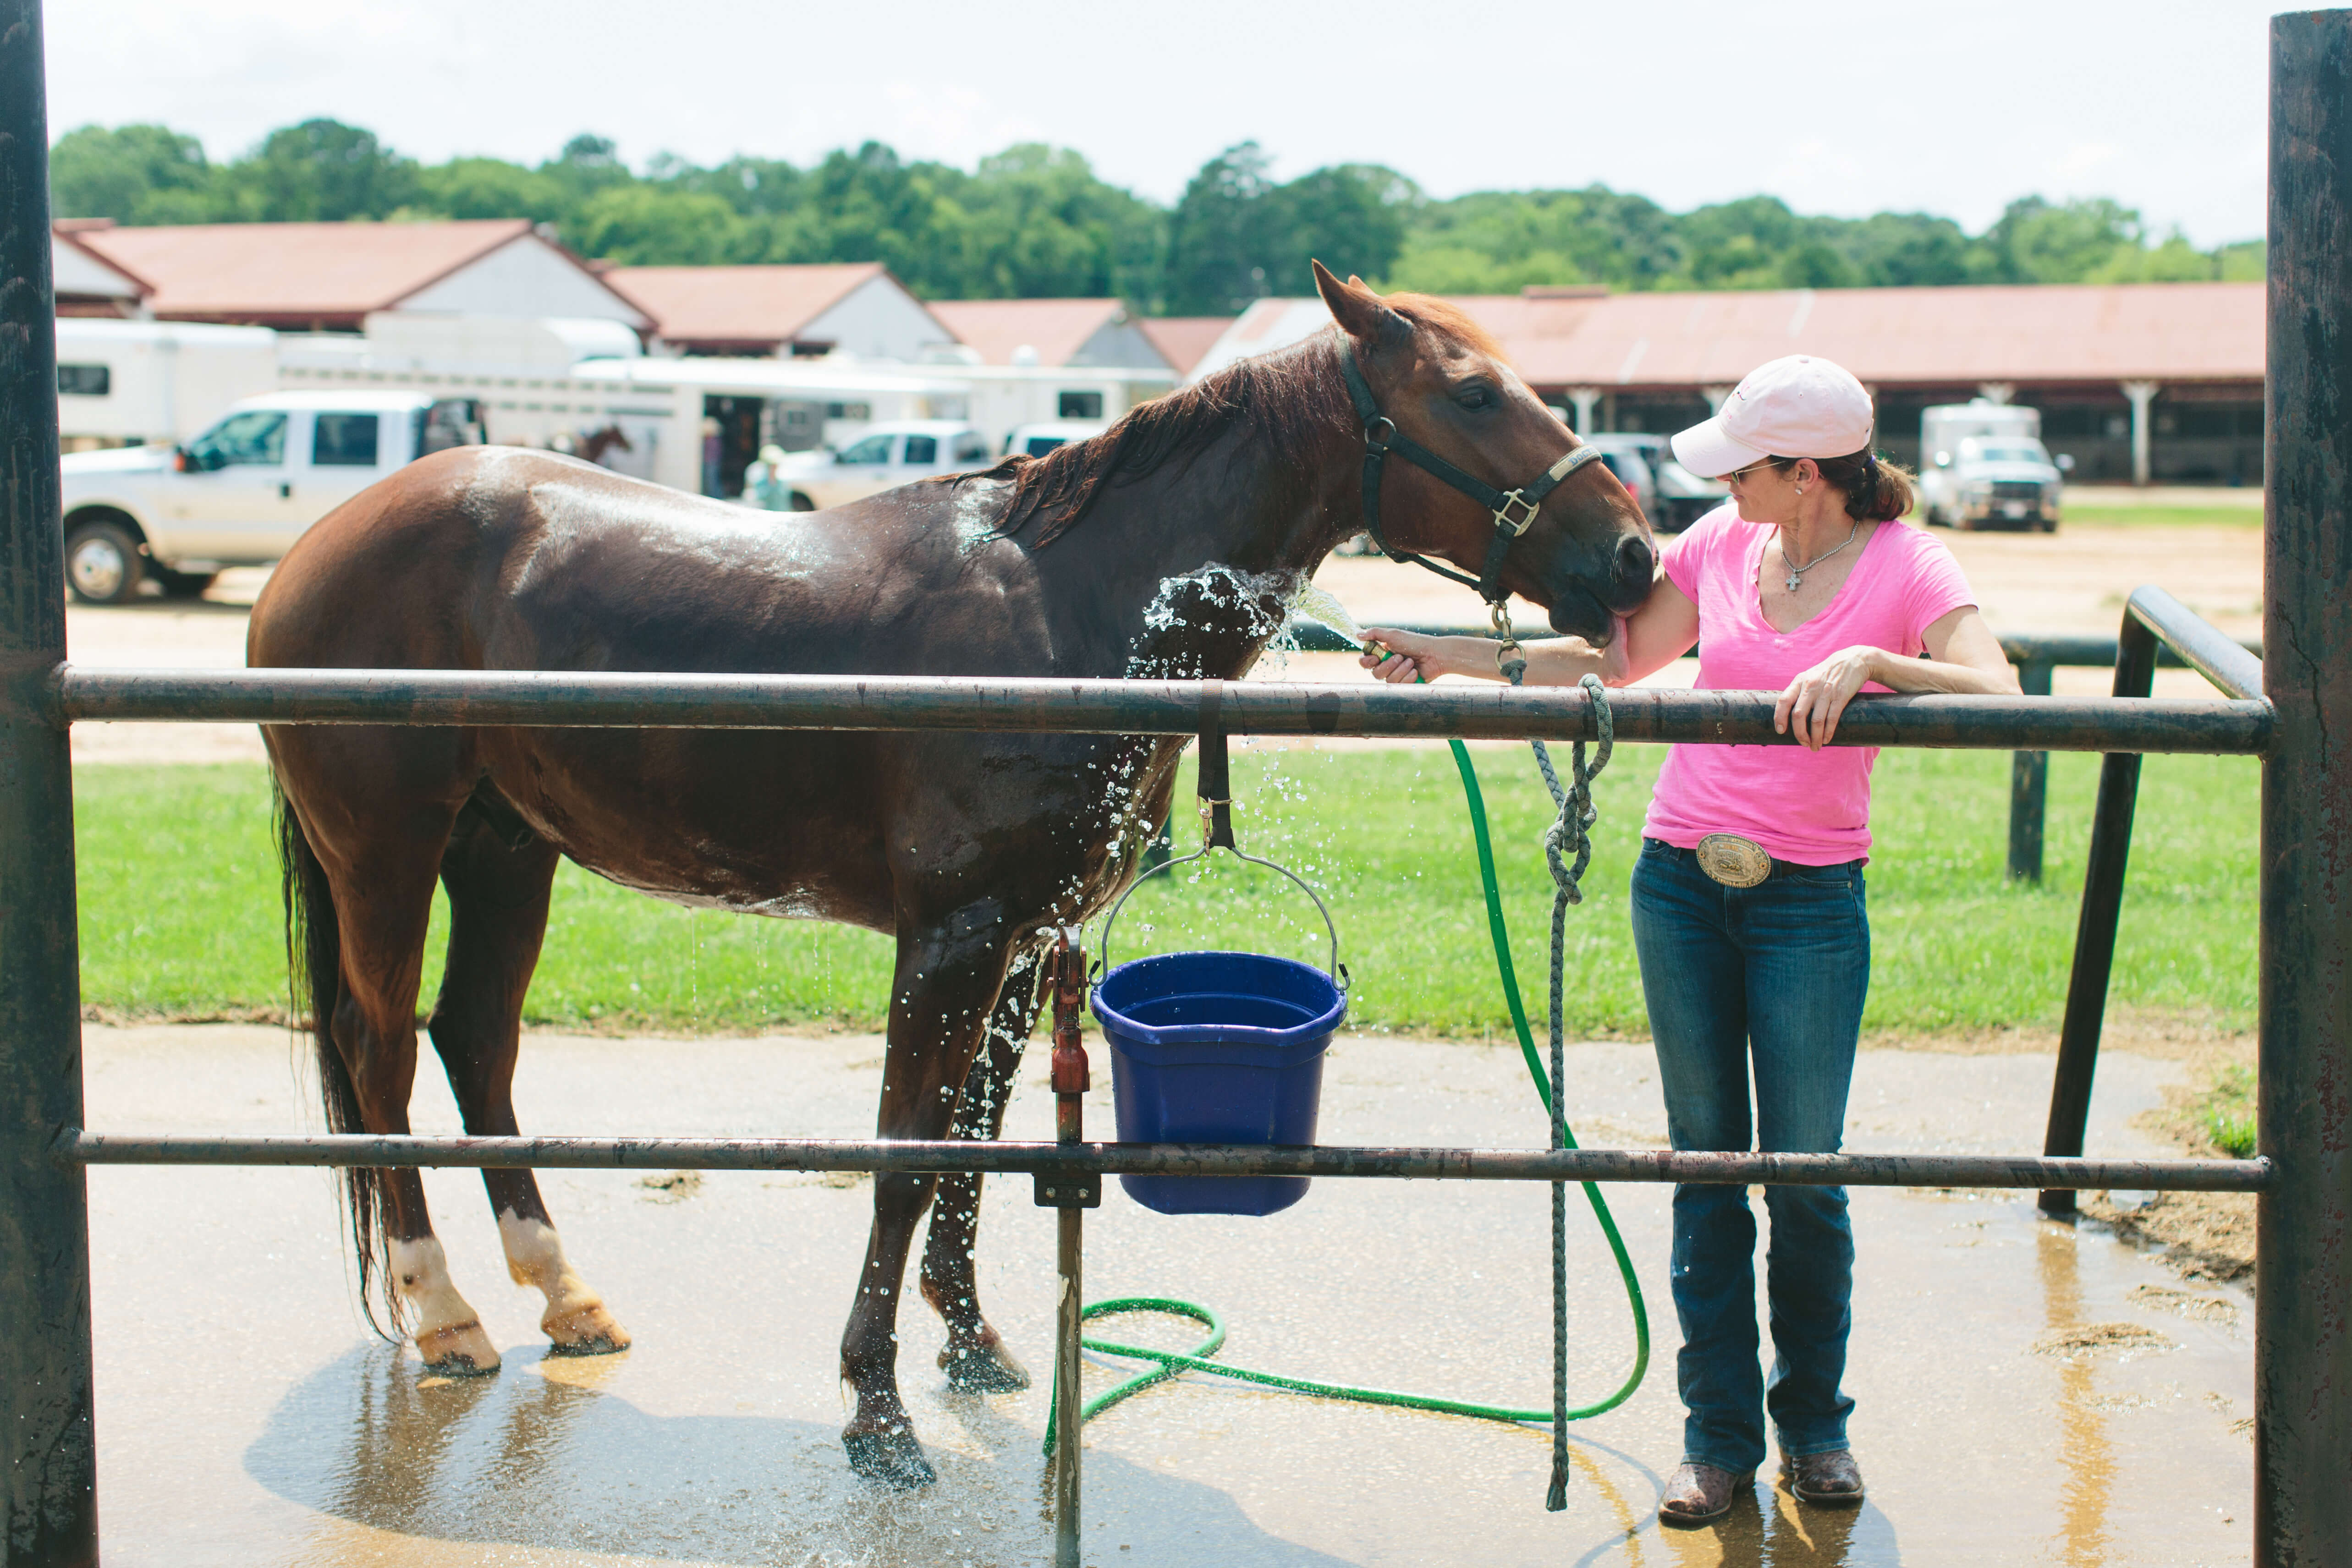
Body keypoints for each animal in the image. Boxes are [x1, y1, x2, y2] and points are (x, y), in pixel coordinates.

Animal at [249, 262, 1656, 1487]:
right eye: (1473, 394)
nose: (1635, 556)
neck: (1069, 606)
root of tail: (314, 546)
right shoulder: (951, 937)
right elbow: (908, 1155)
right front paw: (876, 1409)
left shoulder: (1025, 940)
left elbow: (973, 1145)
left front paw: (970, 1342)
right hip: (388, 850)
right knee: (380, 1051)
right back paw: (447, 1313)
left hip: (505, 848)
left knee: (474, 1039)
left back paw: (565, 1294)